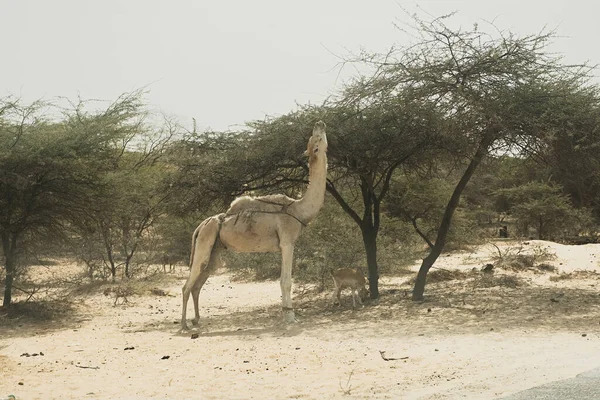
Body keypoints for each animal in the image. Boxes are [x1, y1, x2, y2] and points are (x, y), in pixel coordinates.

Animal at [180, 120, 328, 330]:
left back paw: (196, 319)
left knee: (198, 284)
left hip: (214, 250)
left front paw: (286, 314)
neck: (299, 209)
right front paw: (290, 317)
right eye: (317, 139)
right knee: (187, 285)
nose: (319, 123)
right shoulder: (287, 242)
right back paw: (184, 324)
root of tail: (201, 226)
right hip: (204, 243)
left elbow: (284, 280)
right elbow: (286, 281)